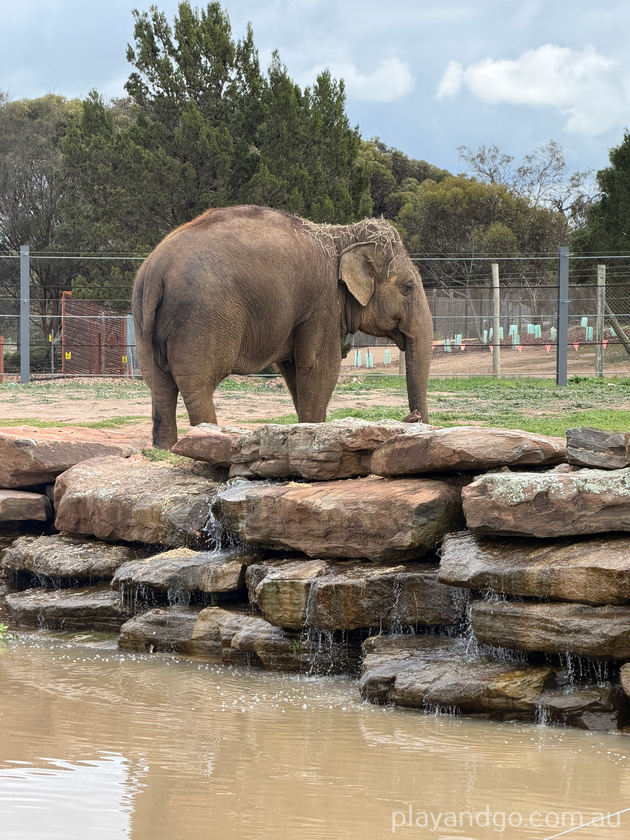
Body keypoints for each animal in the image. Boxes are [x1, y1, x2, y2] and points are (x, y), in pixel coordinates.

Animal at [132, 205, 433, 449]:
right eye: (408, 287)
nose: (413, 416)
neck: (341, 236)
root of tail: (156, 270)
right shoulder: (322, 304)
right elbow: (319, 369)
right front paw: (315, 432)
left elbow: (294, 371)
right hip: (201, 318)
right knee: (197, 383)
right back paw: (205, 438)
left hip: (143, 317)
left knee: (158, 383)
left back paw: (164, 448)